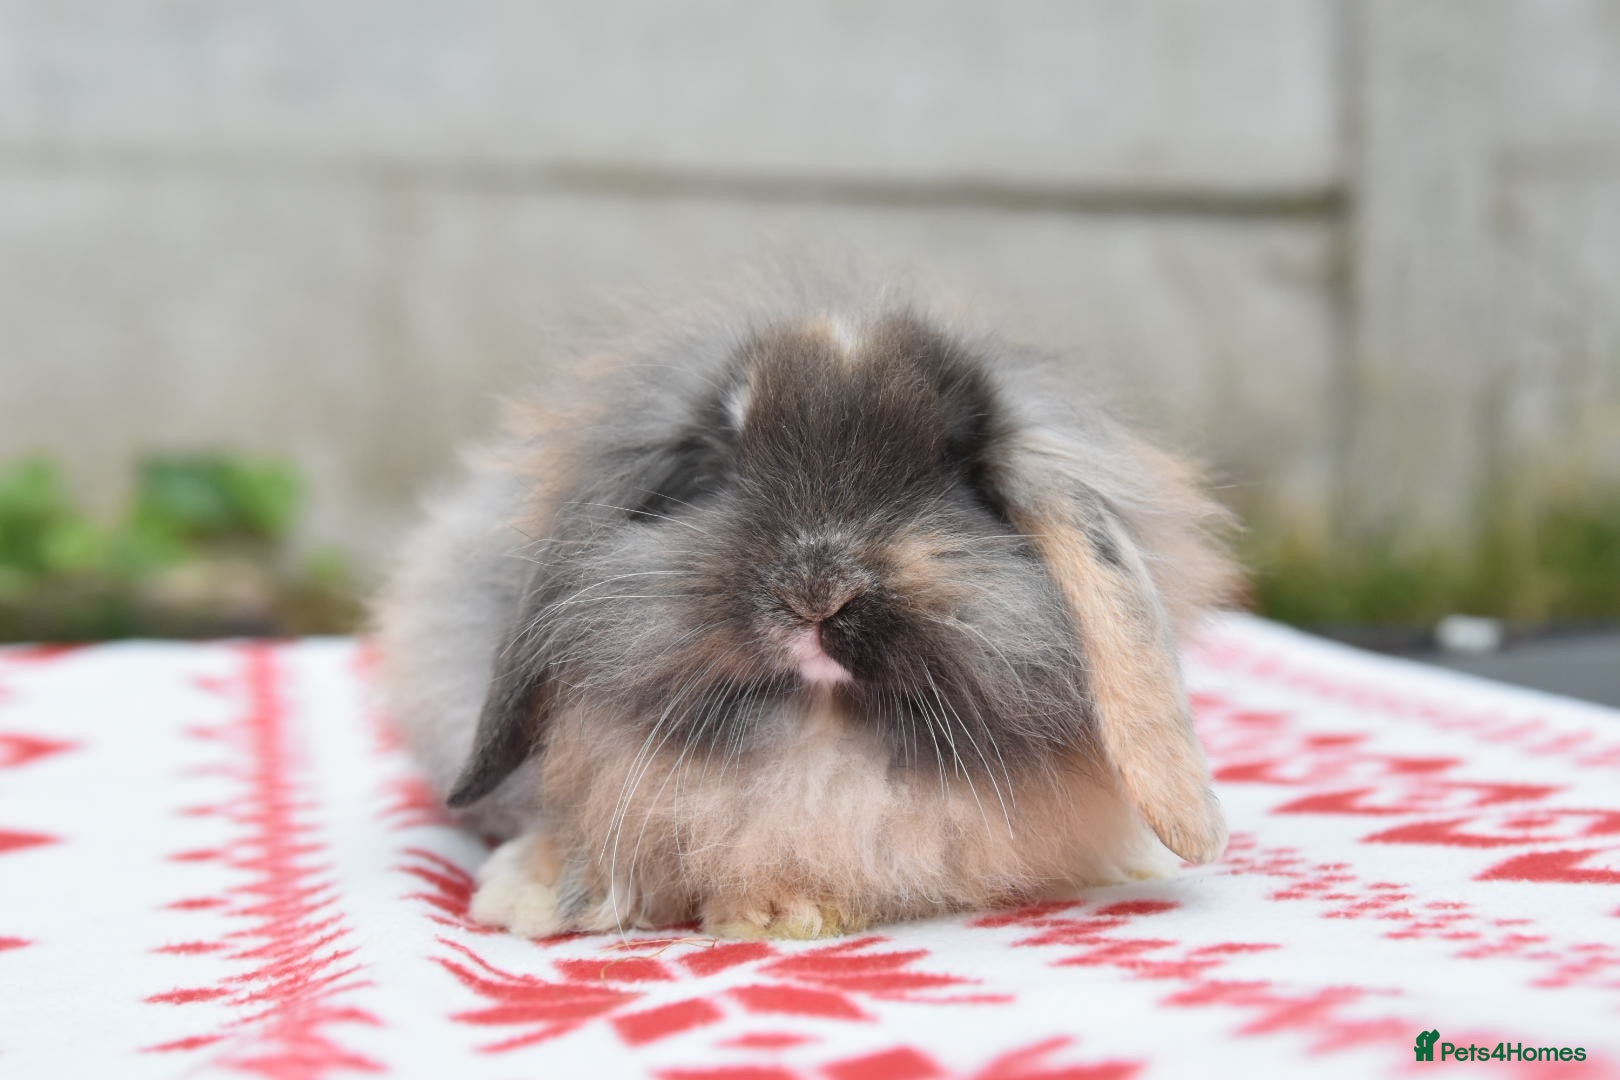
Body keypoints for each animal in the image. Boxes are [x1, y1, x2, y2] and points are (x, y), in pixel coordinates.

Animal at [372, 278, 1240, 940]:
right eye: (720, 463)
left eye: (959, 470)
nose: (817, 590)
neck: (820, 734)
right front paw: (538, 894)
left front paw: (783, 909)